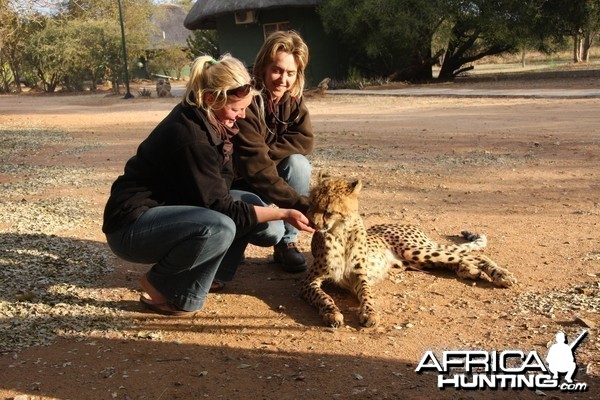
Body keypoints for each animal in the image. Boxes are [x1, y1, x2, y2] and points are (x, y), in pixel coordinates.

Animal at [300, 175, 516, 328]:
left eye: (328, 210)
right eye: (312, 205)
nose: (313, 223)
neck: (340, 233)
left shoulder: (360, 276)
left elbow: (367, 295)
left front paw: (370, 313)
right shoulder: (310, 280)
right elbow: (324, 297)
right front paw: (332, 313)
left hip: (414, 251)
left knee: (474, 254)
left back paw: (502, 275)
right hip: (416, 260)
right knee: (458, 260)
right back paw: (470, 271)